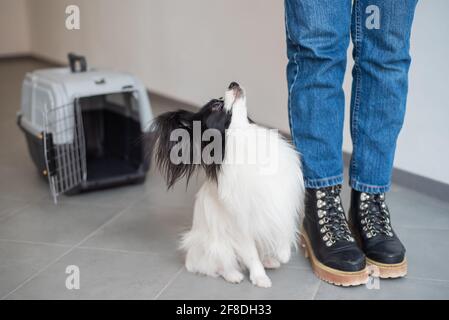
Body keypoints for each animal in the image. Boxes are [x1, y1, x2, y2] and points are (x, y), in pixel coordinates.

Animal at [151, 82, 304, 288]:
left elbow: (283, 230)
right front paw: (259, 277)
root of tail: (189, 258)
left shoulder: (280, 203)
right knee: (217, 265)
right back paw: (233, 274)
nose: (233, 83)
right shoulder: (241, 226)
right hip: (214, 246)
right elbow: (251, 255)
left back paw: (269, 260)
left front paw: (283, 253)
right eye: (216, 106)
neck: (244, 137)